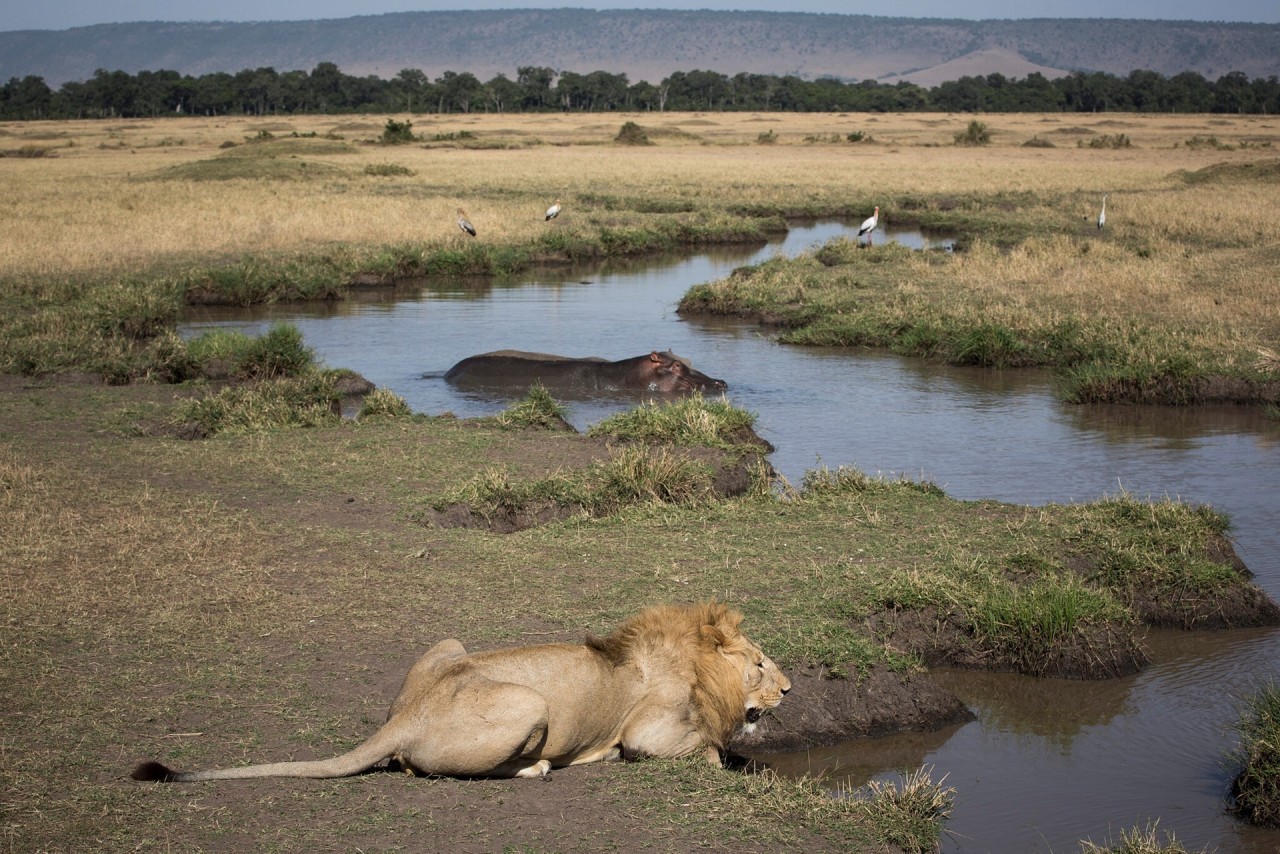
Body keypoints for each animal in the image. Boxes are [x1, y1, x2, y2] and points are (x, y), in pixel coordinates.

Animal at [132, 601, 788, 783]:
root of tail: (406, 716)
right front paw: (729, 759)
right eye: (759, 663)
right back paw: (538, 768)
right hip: (530, 703)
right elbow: (703, 747)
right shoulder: (644, 737)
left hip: (448, 643)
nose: (789, 686)